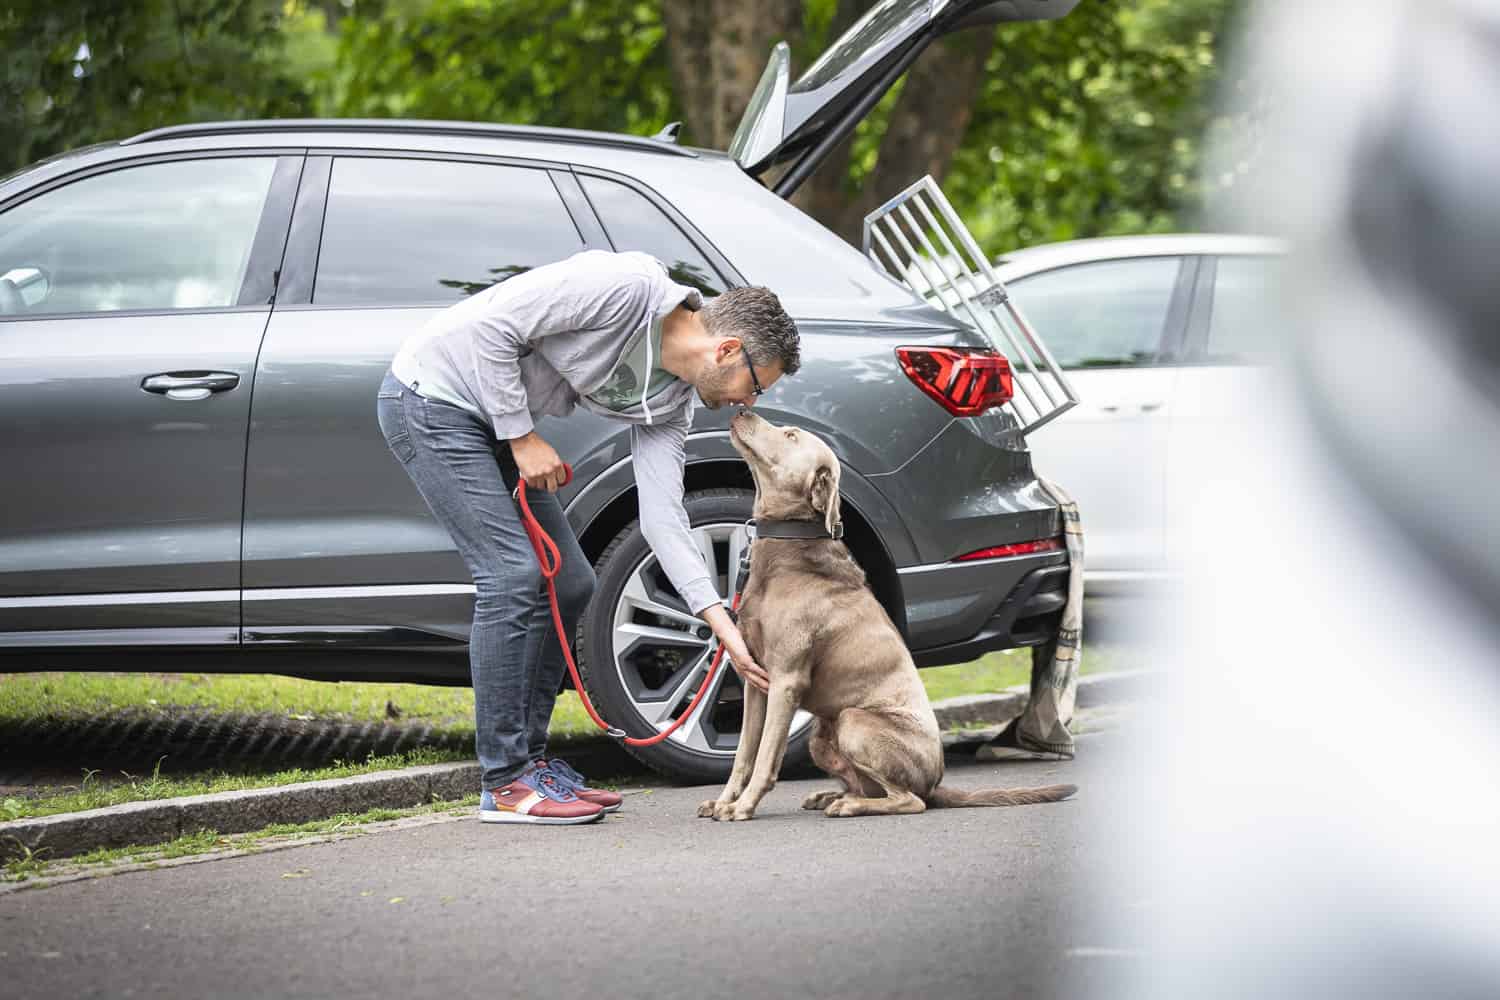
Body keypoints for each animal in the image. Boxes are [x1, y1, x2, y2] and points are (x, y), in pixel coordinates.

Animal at [702, 407, 1080, 821]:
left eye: (790, 435)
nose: (742, 409)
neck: (788, 554)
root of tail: (936, 782)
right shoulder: (755, 679)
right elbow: (744, 754)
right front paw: (724, 801)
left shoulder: (786, 680)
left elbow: (767, 756)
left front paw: (743, 806)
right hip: (822, 735)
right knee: (867, 786)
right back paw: (831, 796)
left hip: (853, 720)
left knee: (908, 800)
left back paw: (848, 805)